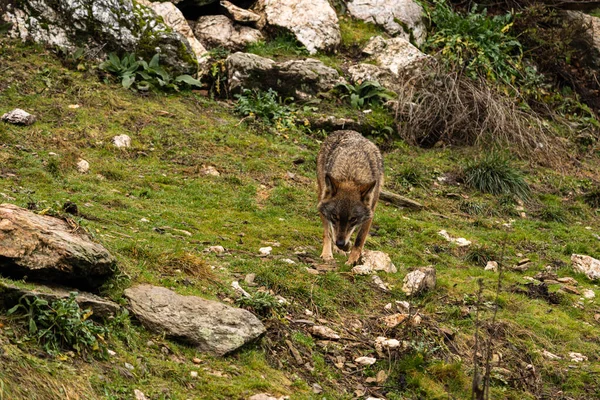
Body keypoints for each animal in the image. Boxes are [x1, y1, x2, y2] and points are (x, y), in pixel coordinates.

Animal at [314, 129, 384, 266]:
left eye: (353, 219)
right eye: (335, 216)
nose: (340, 243)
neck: (351, 173)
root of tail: (343, 130)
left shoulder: (370, 212)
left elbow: (359, 240)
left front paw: (352, 260)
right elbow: (330, 233)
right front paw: (338, 249)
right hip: (321, 195)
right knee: (327, 232)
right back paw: (329, 253)